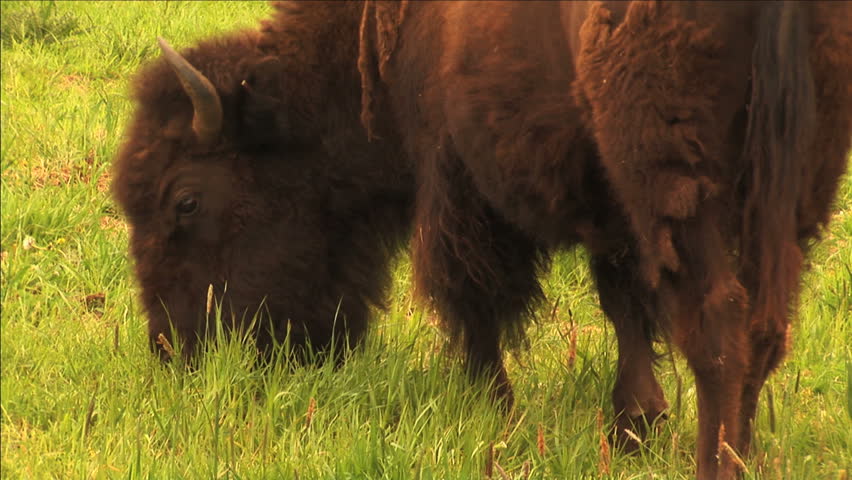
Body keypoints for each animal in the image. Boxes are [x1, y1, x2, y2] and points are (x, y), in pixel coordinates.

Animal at [111, 2, 852, 480]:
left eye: (185, 200)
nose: (174, 352)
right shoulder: (606, 194)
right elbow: (624, 306)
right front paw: (632, 426)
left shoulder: (458, 174)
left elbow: (469, 298)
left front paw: (494, 410)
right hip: (788, 189)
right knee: (762, 328)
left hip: (679, 183)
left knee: (719, 327)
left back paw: (716, 464)